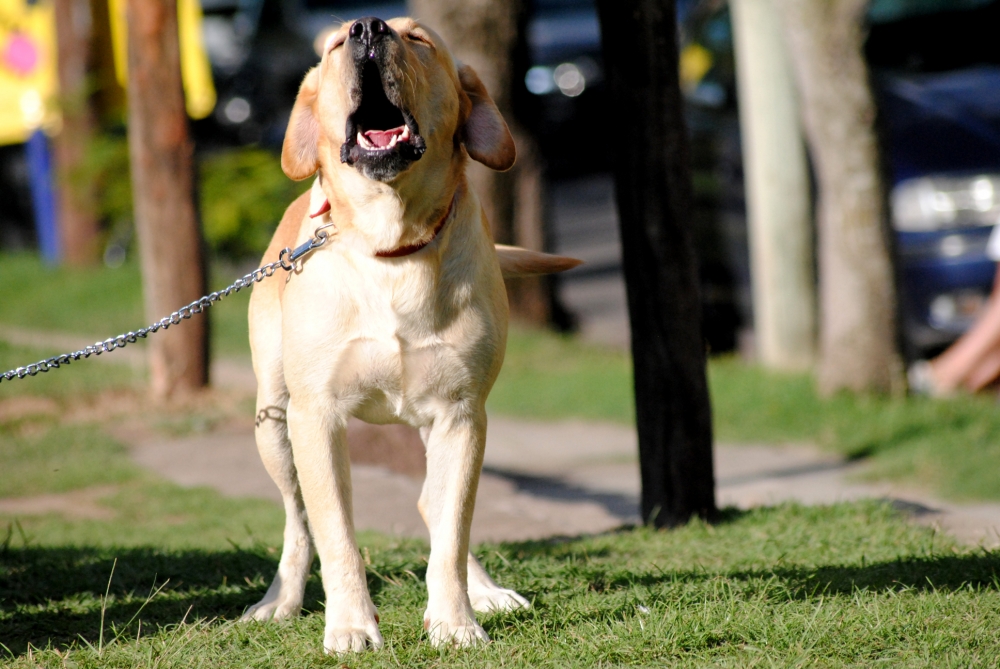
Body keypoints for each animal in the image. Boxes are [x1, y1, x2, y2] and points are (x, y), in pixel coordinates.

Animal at [244, 15, 580, 652]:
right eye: (334, 45)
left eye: (419, 39)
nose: (367, 27)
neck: (390, 246)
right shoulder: (315, 416)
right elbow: (335, 534)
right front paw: (351, 626)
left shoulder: (461, 411)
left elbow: (450, 530)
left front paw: (456, 620)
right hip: (273, 419)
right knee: (297, 520)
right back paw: (279, 601)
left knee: (437, 506)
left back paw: (485, 592)